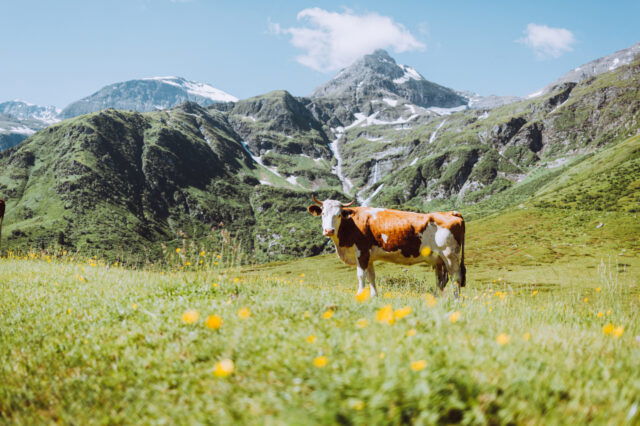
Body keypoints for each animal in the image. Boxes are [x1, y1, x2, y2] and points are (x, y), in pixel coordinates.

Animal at [307, 196, 466, 298]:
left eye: (339, 214)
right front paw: (374, 297)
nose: (329, 230)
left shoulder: (362, 252)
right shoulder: (369, 257)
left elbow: (361, 275)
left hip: (450, 255)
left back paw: (455, 300)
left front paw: (359, 295)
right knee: (441, 280)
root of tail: (451, 213)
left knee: (456, 278)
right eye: (323, 213)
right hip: (439, 260)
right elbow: (371, 277)